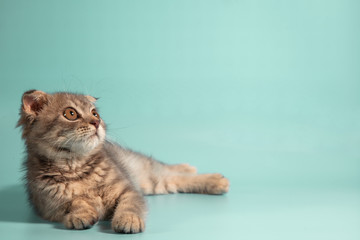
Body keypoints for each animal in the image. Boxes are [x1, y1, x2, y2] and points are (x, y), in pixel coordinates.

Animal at [16, 89, 229, 232]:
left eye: (95, 113)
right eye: (71, 113)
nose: (96, 122)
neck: (76, 165)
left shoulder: (129, 190)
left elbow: (129, 206)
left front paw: (128, 221)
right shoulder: (50, 204)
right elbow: (76, 202)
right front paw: (81, 214)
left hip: (148, 175)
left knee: (173, 173)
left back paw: (212, 179)